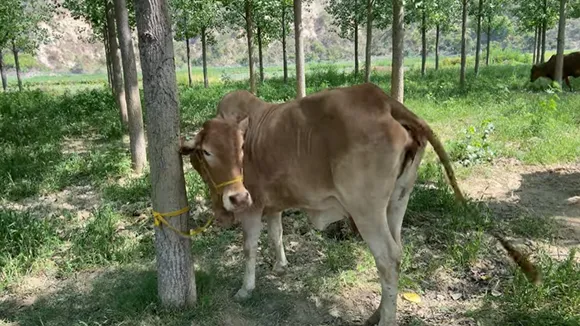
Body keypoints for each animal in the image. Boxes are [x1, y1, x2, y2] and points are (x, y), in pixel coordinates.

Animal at [181, 83, 540, 324]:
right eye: (207, 151)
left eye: (240, 149)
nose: (236, 196)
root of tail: (384, 102)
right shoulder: (273, 203)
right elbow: (277, 232)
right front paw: (281, 265)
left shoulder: (252, 207)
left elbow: (249, 248)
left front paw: (246, 289)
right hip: (396, 202)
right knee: (397, 252)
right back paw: (376, 313)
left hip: (366, 210)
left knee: (388, 258)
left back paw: (385, 320)